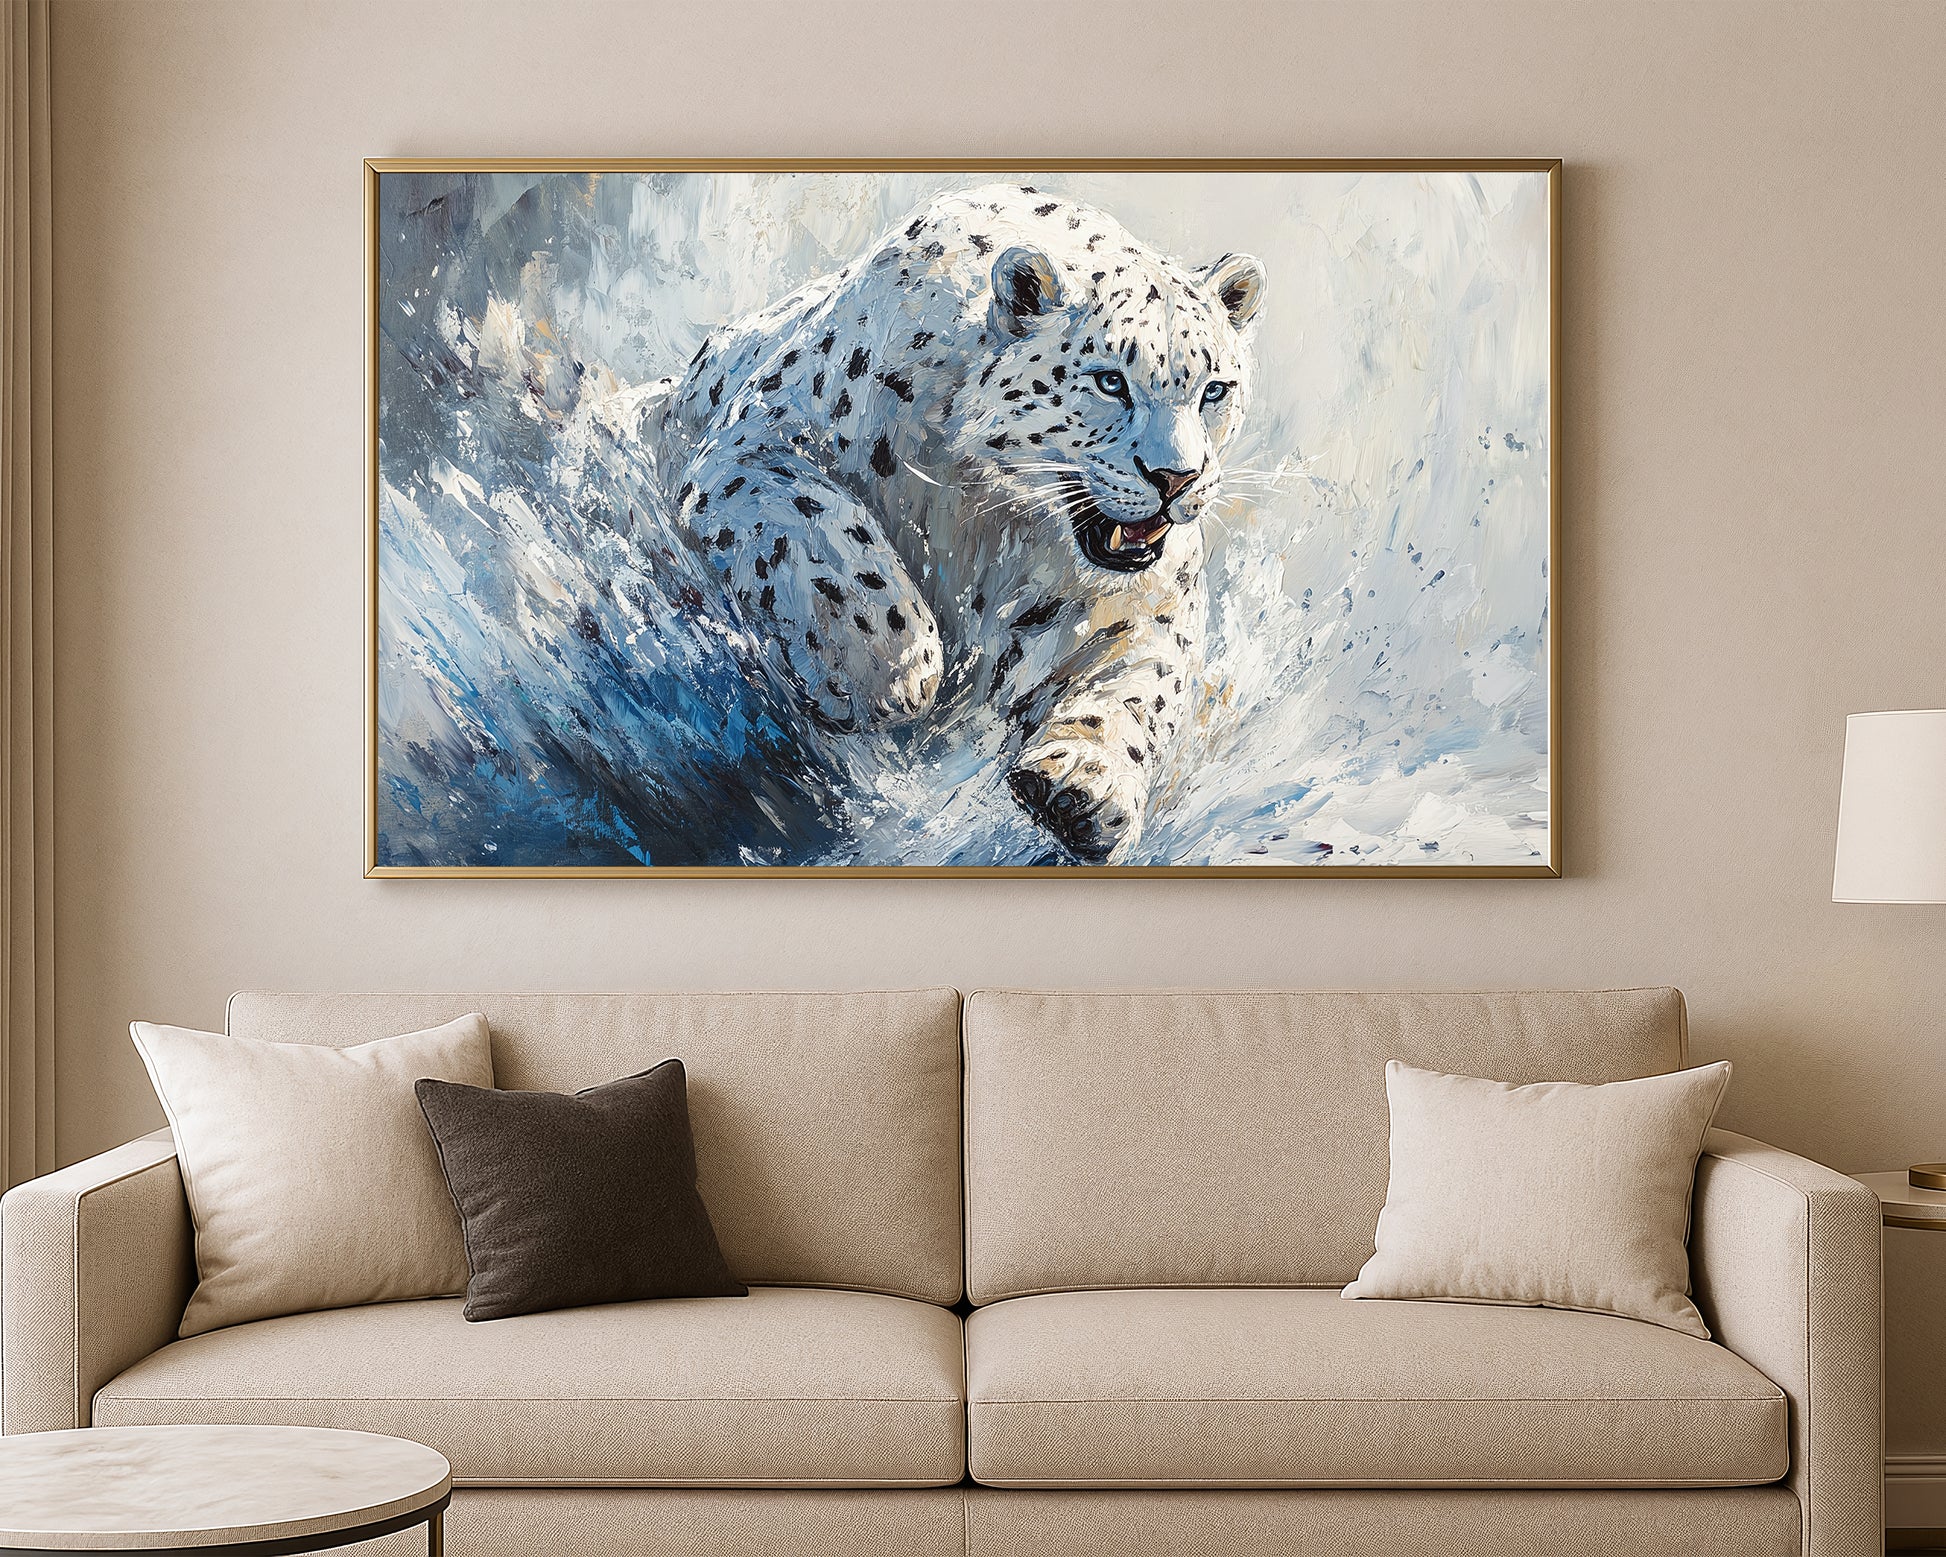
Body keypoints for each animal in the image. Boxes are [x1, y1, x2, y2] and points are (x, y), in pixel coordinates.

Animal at [632, 182, 1266, 863]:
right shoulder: (756, 443)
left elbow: (1145, 685)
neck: (995, 525)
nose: (1177, 478)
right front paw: (891, 667)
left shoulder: (1151, 599)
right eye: (1110, 381)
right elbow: (822, 522)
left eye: (1214, 389)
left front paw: (1083, 791)